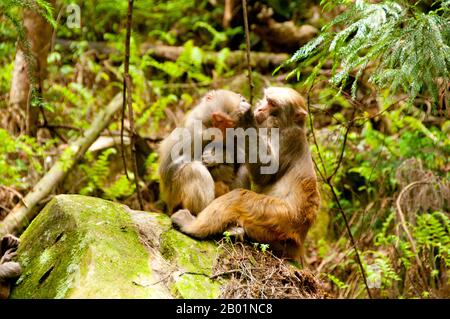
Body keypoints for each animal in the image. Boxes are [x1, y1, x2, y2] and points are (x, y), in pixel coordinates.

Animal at [171, 87, 322, 262]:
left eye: (272, 103)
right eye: (266, 99)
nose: (259, 108)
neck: (281, 125)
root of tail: (298, 243)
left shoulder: (290, 137)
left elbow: (265, 173)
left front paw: (246, 117)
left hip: (279, 218)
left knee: (239, 198)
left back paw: (192, 227)